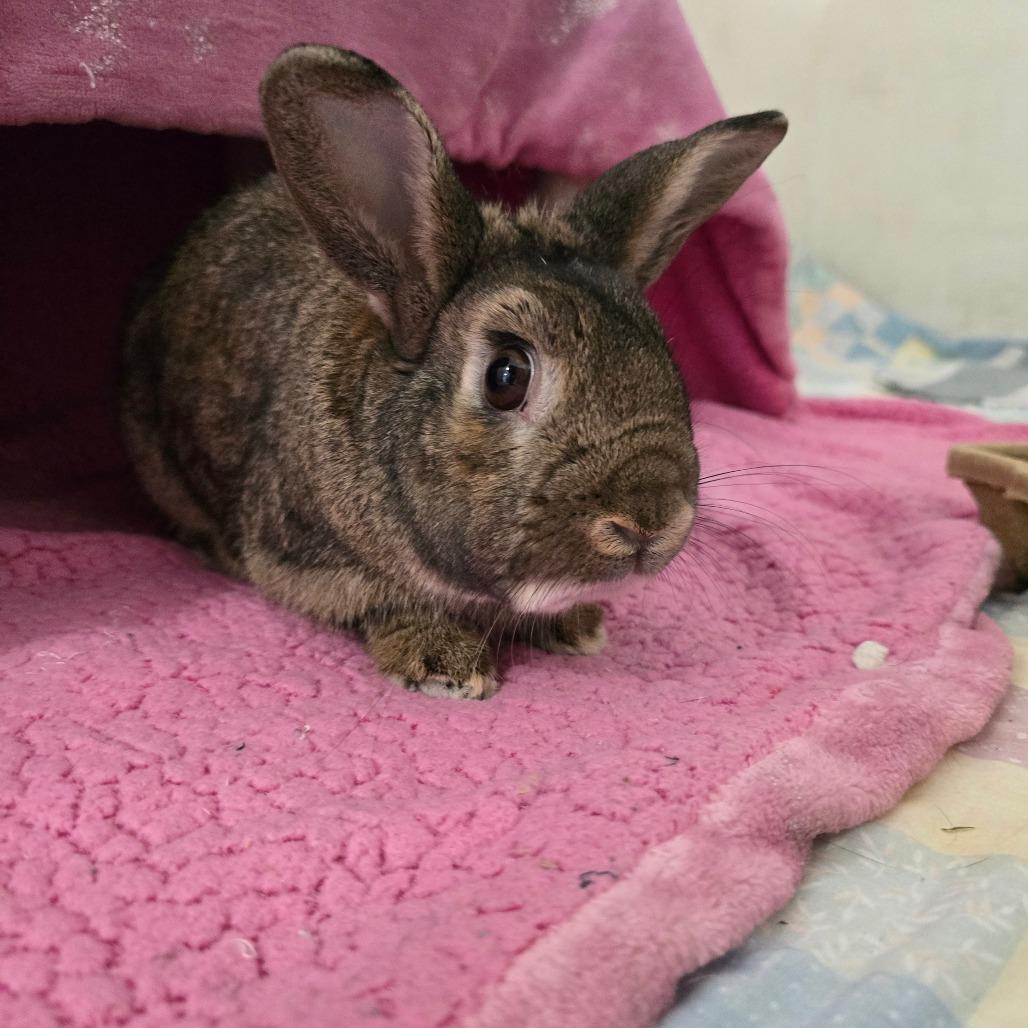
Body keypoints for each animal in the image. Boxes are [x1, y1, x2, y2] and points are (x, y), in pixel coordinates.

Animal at [121, 44, 786, 700]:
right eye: (506, 376)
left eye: (667, 356)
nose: (651, 521)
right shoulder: (304, 560)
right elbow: (386, 606)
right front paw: (446, 663)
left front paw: (577, 627)